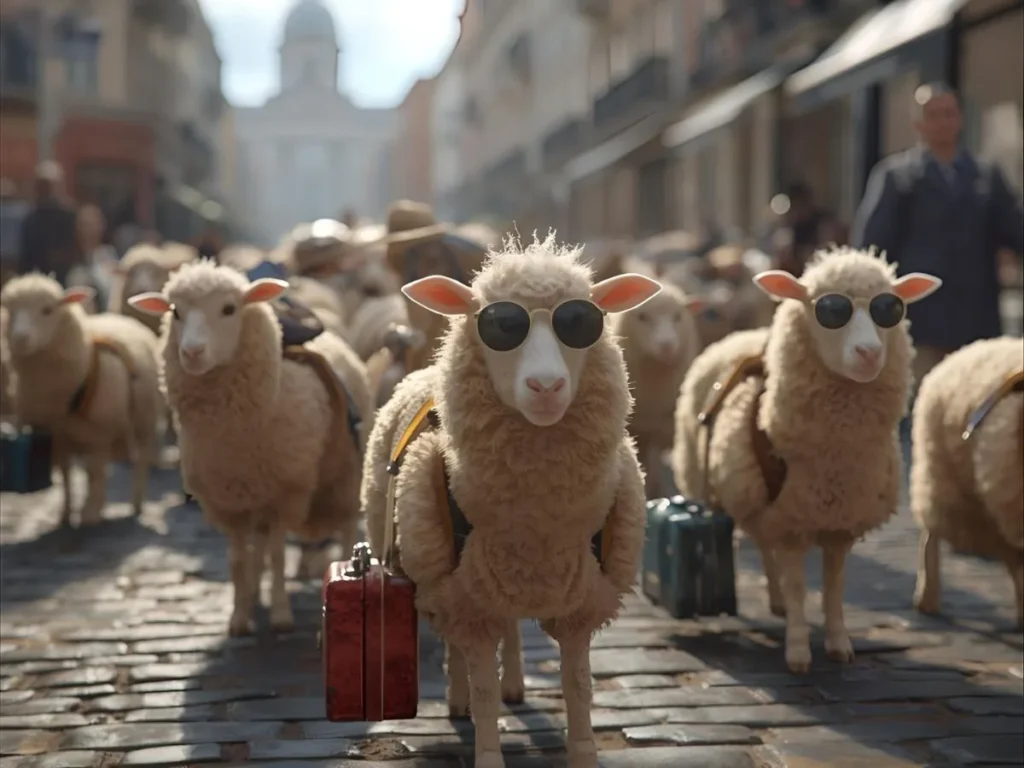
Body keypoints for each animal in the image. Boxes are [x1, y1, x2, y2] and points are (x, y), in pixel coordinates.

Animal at [1, 273, 161, 525]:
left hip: (142, 420)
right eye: (9, 309)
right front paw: (66, 513)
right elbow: (66, 475)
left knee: (139, 461)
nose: (20, 339)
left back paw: (135, 503)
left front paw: (92, 513)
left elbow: (96, 470)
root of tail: (119, 316)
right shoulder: (57, 435)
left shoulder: (100, 432)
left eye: (47, 310)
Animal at [127, 260, 372, 635]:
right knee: (257, 547)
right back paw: (256, 590)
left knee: (345, 527)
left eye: (229, 309)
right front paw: (240, 616)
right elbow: (239, 559)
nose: (191, 353)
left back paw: (344, 565)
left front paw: (281, 615)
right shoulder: (228, 500)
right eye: (175, 311)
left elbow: (278, 555)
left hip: (347, 475)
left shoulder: (286, 493)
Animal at [360, 235, 659, 767]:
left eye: (582, 321)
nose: (546, 386)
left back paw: (516, 685)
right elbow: (483, 689)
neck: (536, 523)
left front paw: (583, 753)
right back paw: (457, 699)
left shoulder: (583, 598)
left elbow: (578, 686)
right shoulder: (467, 601)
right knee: (457, 650)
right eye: (498, 325)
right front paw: (486, 749)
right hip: (443, 575)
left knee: (515, 633)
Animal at [671, 246, 942, 673]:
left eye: (890, 308)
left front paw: (838, 643)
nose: (869, 353)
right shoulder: (790, 520)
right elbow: (800, 585)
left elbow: (833, 586)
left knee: (764, 547)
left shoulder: (839, 524)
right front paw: (798, 651)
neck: (834, 459)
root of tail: (740, 334)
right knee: (760, 546)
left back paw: (778, 602)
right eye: (828, 309)